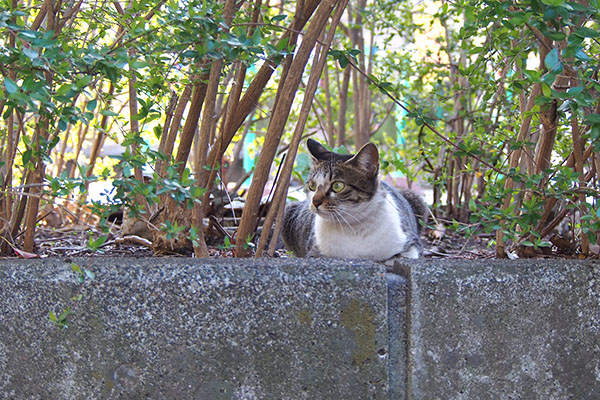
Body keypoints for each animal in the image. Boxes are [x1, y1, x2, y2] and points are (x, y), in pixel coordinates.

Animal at [282, 139, 426, 260]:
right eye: (312, 186)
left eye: (337, 186)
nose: (315, 202)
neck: (352, 227)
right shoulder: (314, 251)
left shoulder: (412, 242)